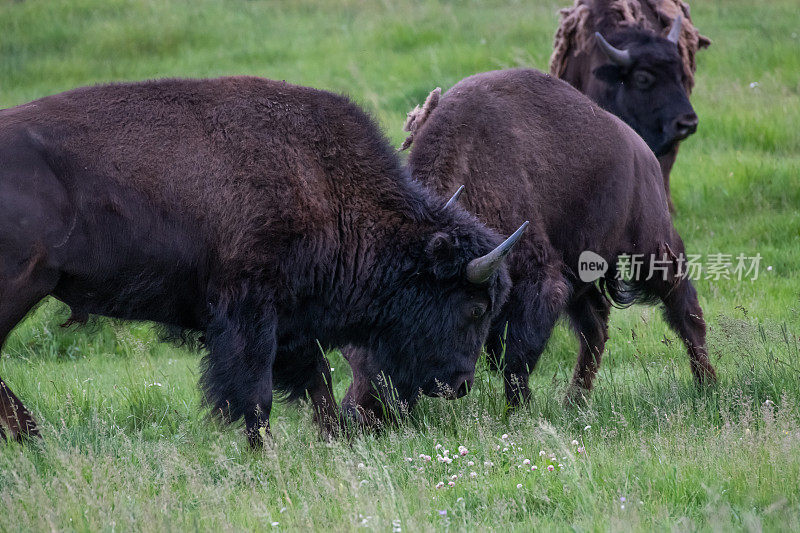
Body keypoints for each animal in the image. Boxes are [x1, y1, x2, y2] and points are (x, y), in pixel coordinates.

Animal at [0, 76, 524, 444]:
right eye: (475, 307)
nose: (459, 384)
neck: (323, 182)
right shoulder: (249, 313)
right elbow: (256, 394)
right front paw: (264, 451)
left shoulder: (292, 322)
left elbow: (316, 381)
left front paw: (335, 441)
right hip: (21, 287)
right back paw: (32, 436)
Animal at [344, 68, 720, 422]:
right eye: (349, 349)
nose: (360, 413)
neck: (469, 163)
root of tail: (641, 150)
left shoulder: (536, 281)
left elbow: (515, 357)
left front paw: (517, 413)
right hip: (581, 272)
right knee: (596, 328)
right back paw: (574, 401)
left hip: (651, 246)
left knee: (684, 309)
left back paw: (707, 386)